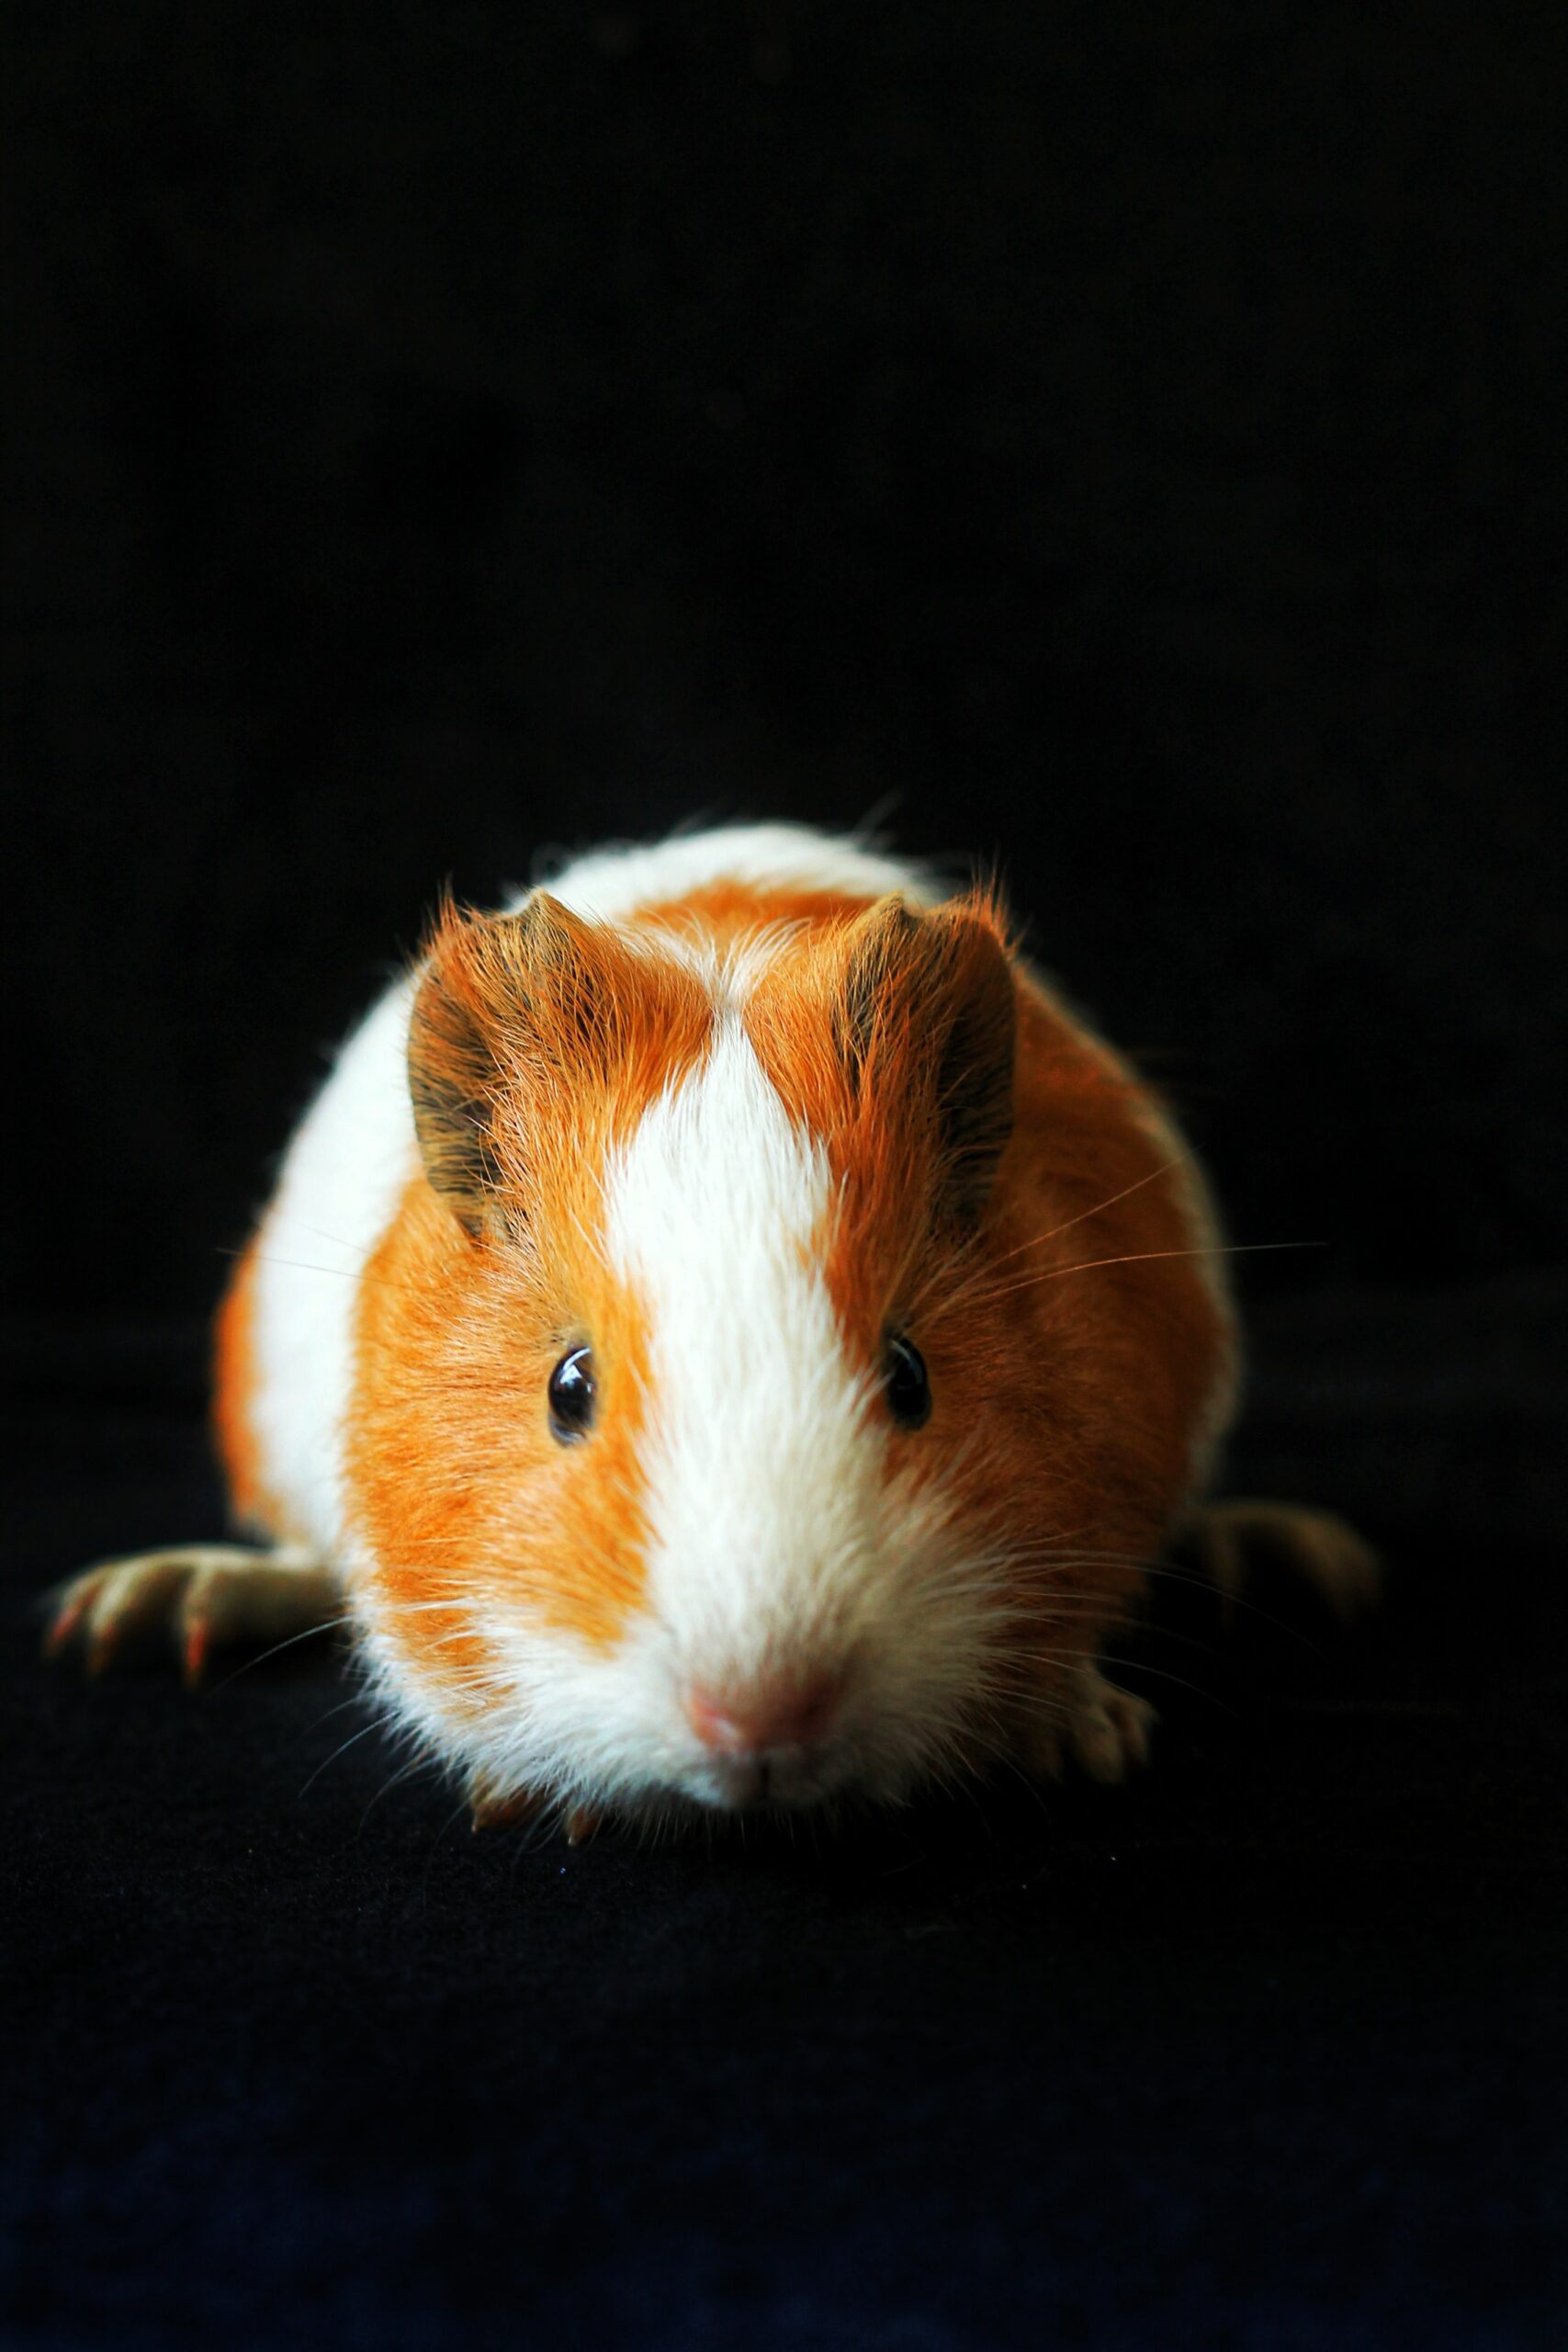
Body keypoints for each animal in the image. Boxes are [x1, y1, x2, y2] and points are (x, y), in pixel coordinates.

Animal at [48, 823, 1378, 1838]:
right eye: (568, 1387)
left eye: (910, 1377)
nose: (763, 1715)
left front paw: (1089, 1738)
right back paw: (142, 1609)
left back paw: (1288, 1556)